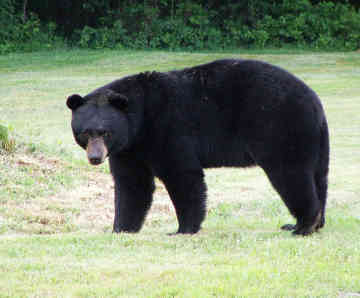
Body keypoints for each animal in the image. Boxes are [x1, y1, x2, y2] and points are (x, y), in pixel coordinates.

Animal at [67, 57, 330, 235]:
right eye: (85, 133)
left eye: (105, 132)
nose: (95, 157)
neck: (140, 120)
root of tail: (314, 101)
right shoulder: (128, 149)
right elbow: (132, 184)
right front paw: (121, 228)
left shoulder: (167, 128)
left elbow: (182, 175)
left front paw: (183, 229)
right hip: (315, 141)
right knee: (319, 177)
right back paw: (311, 224)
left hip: (280, 127)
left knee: (291, 174)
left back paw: (303, 225)